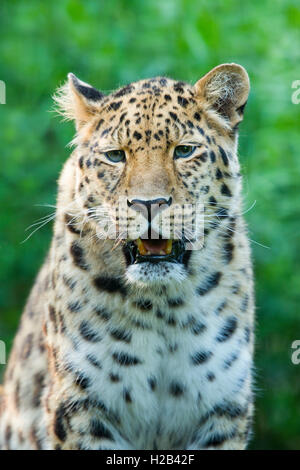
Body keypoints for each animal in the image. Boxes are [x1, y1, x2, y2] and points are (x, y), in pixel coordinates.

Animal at [0, 62, 255, 448]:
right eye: (115, 156)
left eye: (184, 151)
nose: (148, 204)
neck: (164, 309)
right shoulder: (81, 410)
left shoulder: (223, 411)